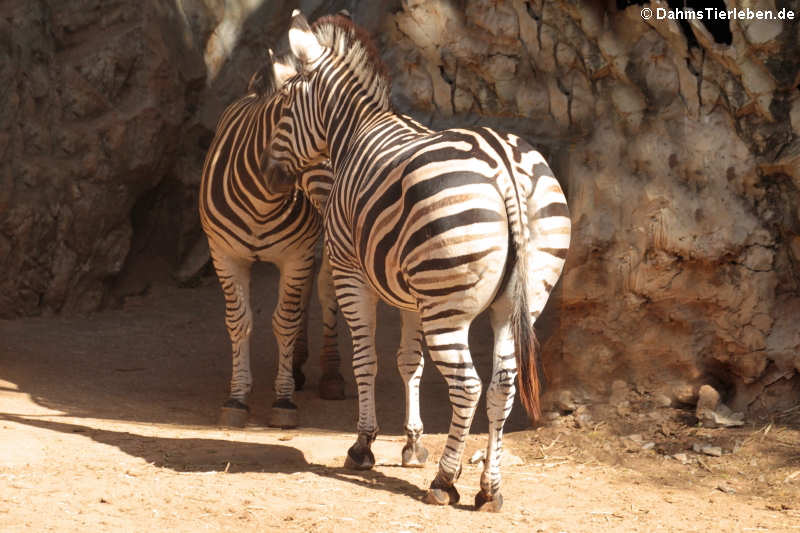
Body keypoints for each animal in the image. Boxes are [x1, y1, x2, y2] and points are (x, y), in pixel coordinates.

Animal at [199, 52, 344, 428]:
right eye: (319, 148)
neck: (262, 201)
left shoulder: (296, 254)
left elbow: (285, 322)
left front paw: (283, 400)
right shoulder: (225, 255)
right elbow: (240, 322)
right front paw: (237, 398)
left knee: (325, 291)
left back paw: (331, 374)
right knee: (306, 292)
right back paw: (298, 365)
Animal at [266, 12, 572, 512]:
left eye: (286, 105)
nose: (272, 178)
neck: (355, 130)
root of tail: (503, 164)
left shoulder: (353, 275)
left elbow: (367, 359)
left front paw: (364, 446)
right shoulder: (411, 295)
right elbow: (409, 362)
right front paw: (410, 443)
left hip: (446, 307)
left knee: (467, 386)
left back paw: (445, 482)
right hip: (519, 300)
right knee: (502, 385)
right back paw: (489, 488)